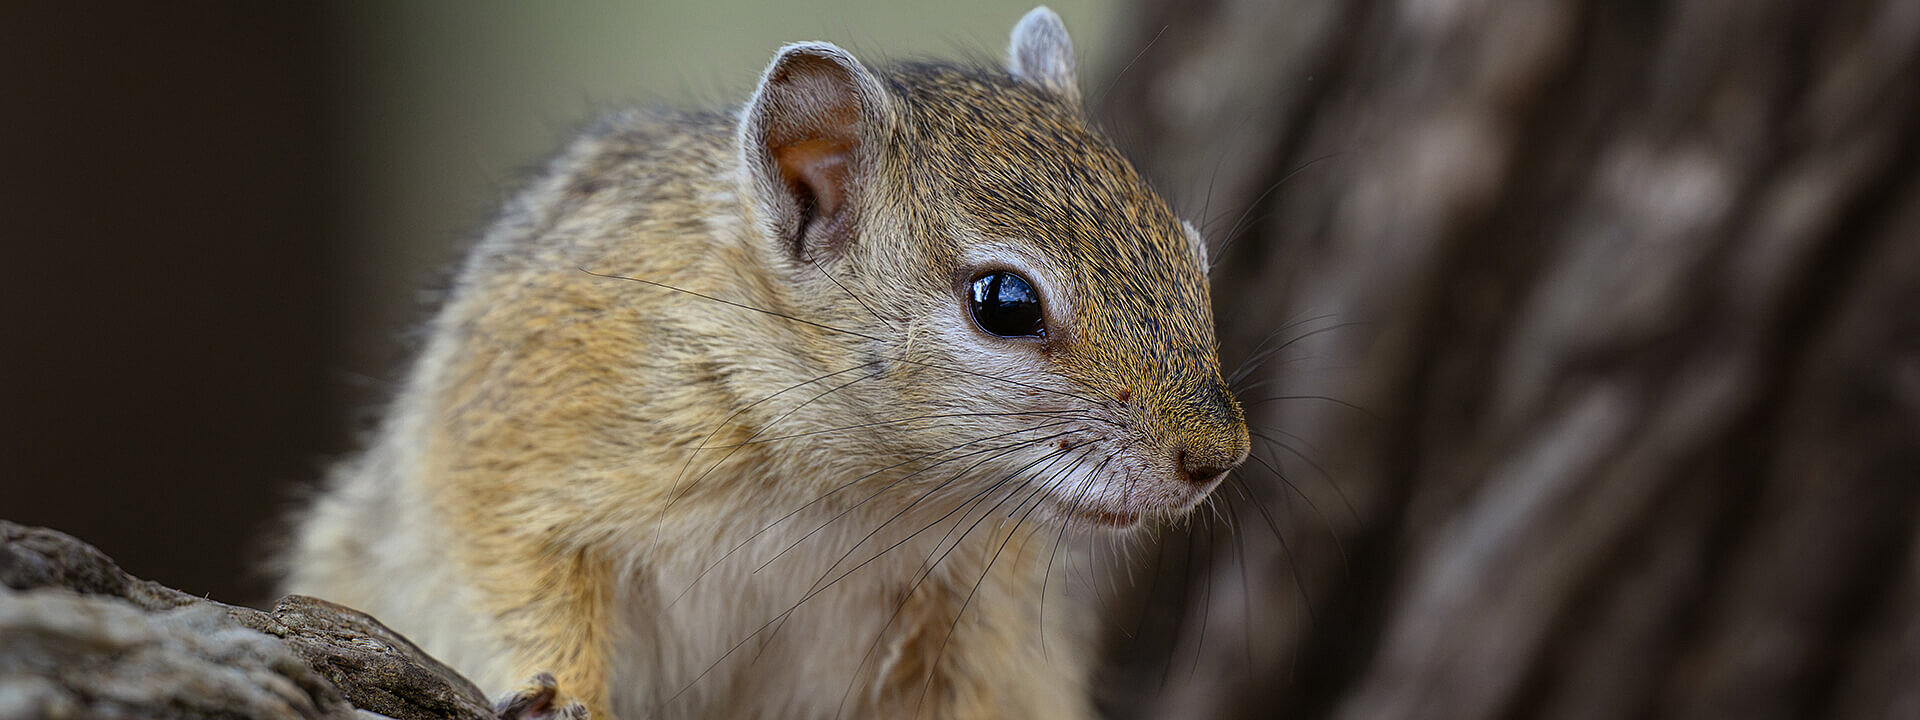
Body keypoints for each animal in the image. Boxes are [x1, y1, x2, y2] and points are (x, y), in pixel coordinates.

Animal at [283, 7, 1249, 719]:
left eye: (1192, 254)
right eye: (1004, 301)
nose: (1216, 459)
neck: (863, 489)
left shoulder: (965, 626)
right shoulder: (522, 442)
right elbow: (519, 583)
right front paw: (564, 696)